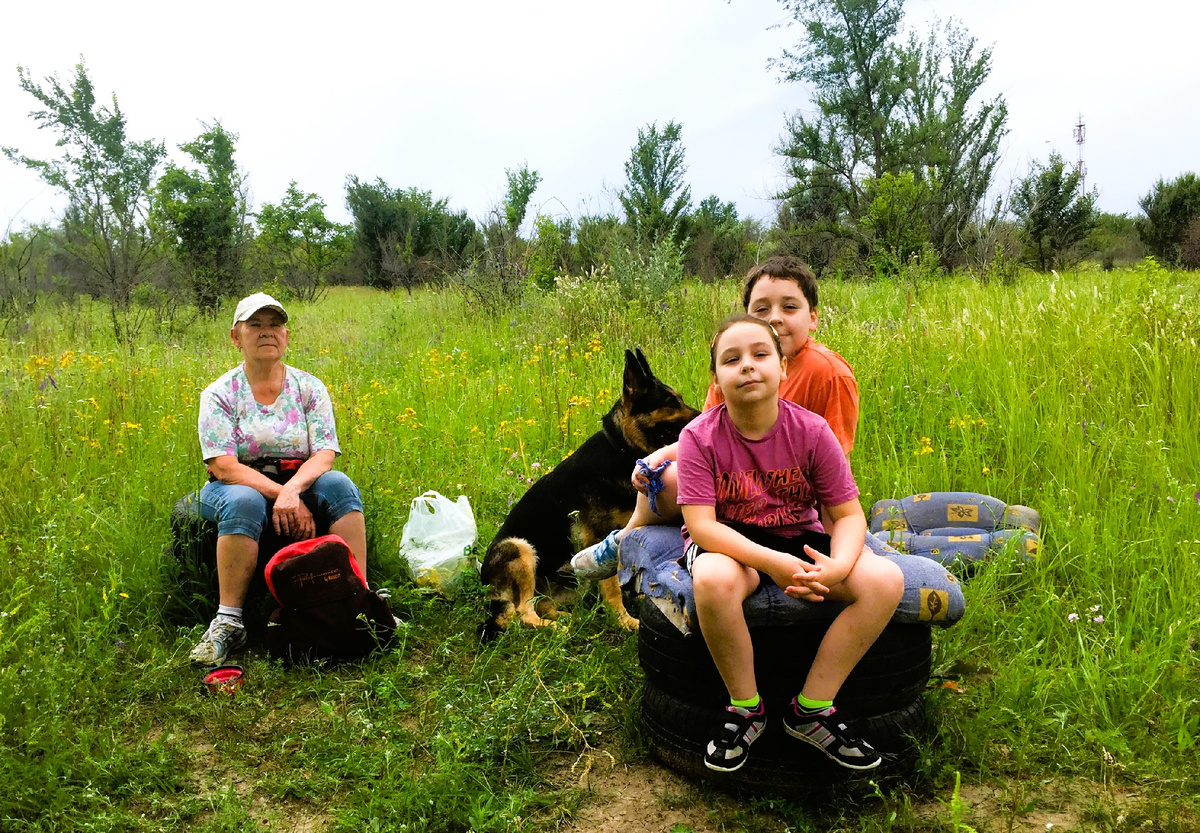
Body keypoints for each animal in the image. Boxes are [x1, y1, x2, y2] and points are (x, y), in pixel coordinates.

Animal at [480, 348, 700, 643]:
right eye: (670, 402)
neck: (621, 450)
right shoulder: (600, 538)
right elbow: (613, 589)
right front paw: (624, 621)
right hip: (519, 548)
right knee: (521, 613)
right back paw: (554, 628)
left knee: (537, 605)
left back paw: (564, 618)